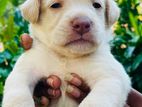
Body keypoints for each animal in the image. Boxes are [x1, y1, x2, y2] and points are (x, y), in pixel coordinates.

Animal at [2, 0, 131, 107]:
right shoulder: (23, 71)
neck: (66, 57)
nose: (82, 24)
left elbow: (95, 101)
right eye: (55, 5)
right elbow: (18, 94)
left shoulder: (111, 77)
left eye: (97, 5)